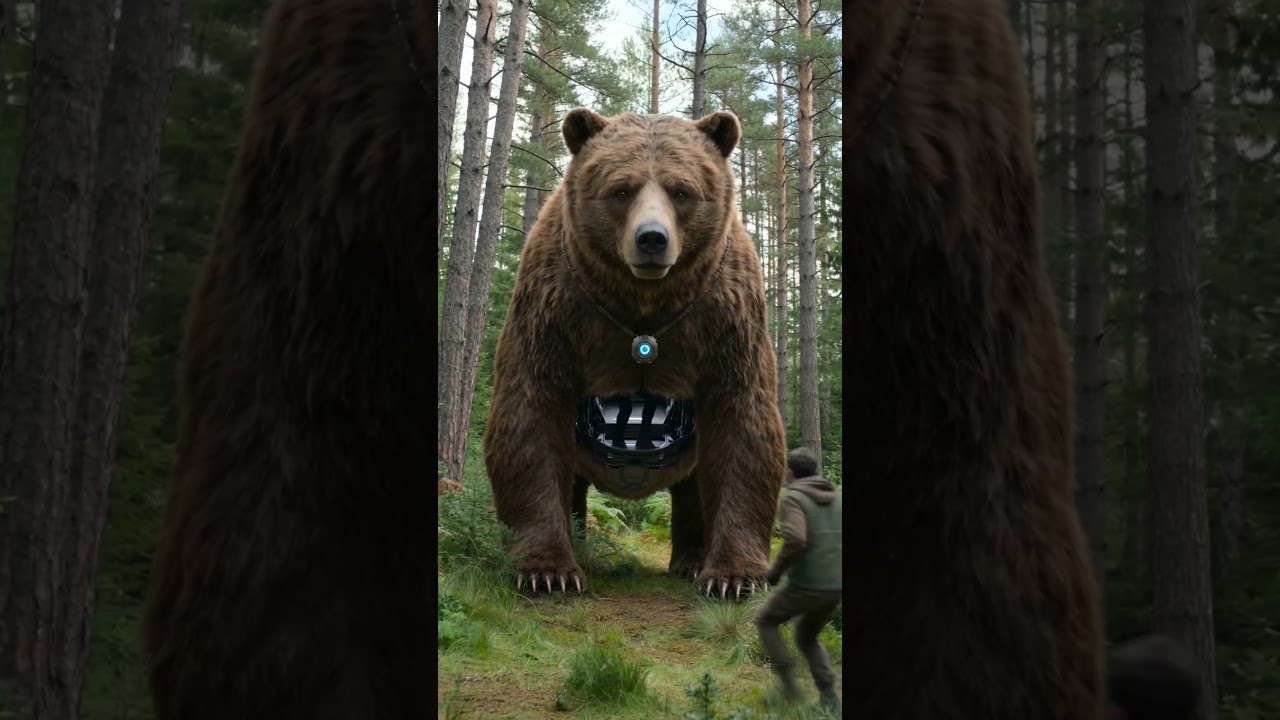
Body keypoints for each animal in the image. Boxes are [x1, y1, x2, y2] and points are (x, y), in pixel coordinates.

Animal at [482, 108, 786, 599]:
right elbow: (529, 415)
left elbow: (745, 425)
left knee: (692, 487)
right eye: (621, 189)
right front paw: (548, 570)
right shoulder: (556, 311)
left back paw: (691, 561)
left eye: (681, 190)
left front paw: (733, 577)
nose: (652, 240)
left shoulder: (725, 321)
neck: (643, 304)